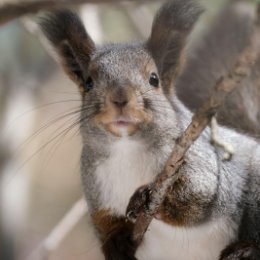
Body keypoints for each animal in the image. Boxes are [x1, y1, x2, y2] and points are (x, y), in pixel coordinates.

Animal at [39, 0, 260, 260]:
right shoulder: (95, 188)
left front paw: (147, 200)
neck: (127, 149)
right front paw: (116, 242)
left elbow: (200, 198)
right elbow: (105, 223)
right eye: (89, 82)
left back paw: (246, 248)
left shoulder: (205, 163)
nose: (119, 98)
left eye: (154, 79)